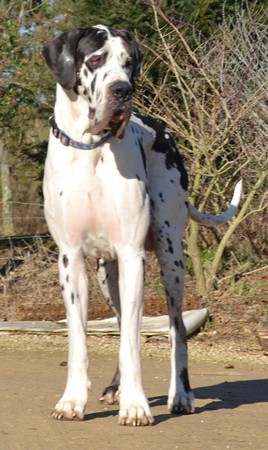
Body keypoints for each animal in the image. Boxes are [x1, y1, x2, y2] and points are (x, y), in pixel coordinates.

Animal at [42, 24, 243, 426]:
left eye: (128, 63)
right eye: (95, 60)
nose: (122, 90)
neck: (91, 150)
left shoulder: (133, 256)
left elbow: (133, 342)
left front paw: (135, 405)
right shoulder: (71, 260)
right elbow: (80, 340)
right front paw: (72, 401)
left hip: (170, 258)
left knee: (176, 329)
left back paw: (181, 395)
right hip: (107, 275)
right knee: (122, 322)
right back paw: (115, 388)